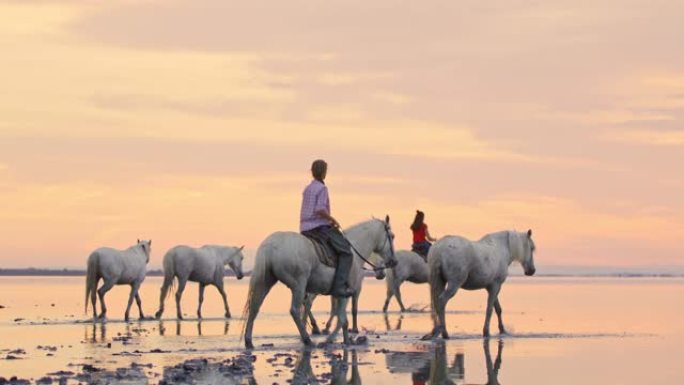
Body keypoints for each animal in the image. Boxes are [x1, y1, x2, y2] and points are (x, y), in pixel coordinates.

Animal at [243, 216, 398, 348]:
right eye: (392, 236)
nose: (394, 262)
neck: (355, 252)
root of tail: (270, 245)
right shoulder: (347, 293)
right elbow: (342, 318)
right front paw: (333, 339)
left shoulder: (339, 294)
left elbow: (341, 317)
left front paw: (344, 340)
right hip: (299, 285)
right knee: (295, 310)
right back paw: (307, 339)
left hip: (266, 282)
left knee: (255, 307)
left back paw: (248, 341)